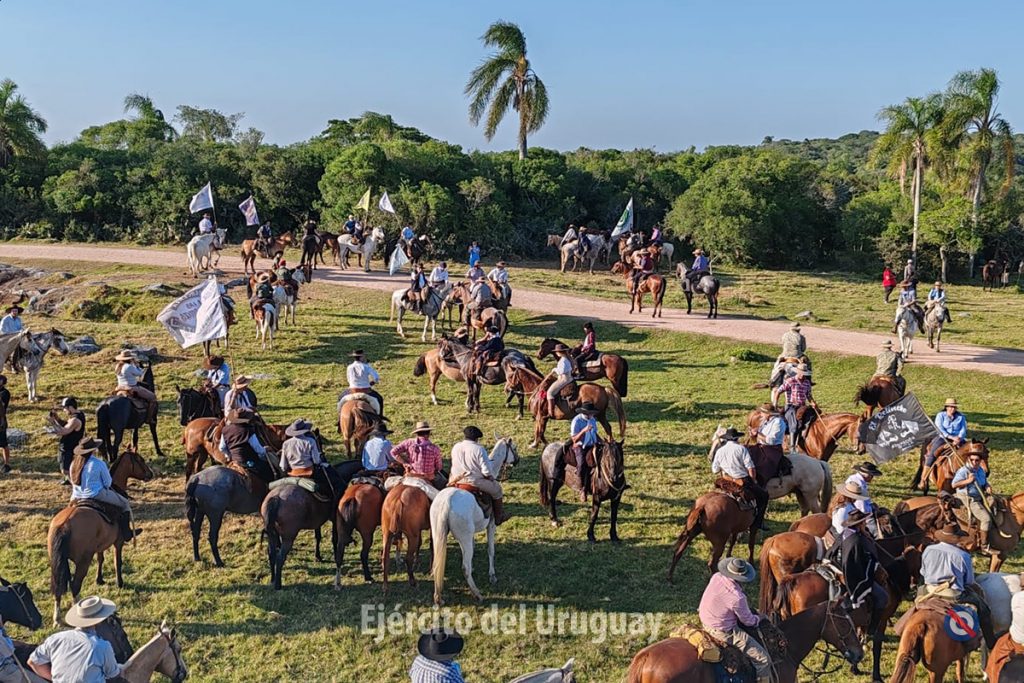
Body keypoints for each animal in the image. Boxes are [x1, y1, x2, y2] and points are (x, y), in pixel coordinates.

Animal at [47, 449, 155, 625]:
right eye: (140, 460)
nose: (150, 474)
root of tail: (64, 525)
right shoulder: (118, 542)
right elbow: (118, 561)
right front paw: (120, 582)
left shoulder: (99, 545)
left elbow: (101, 559)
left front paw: (99, 579)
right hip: (83, 561)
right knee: (75, 585)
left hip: (60, 562)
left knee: (59, 586)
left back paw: (57, 618)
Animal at [430, 437, 519, 605]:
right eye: (514, 448)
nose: (518, 460)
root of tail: (447, 502)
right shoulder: (491, 525)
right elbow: (490, 550)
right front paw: (492, 575)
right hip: (463, 536)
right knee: (464, 567)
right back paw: (477, 594)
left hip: (438, 533)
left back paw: (438, 595)